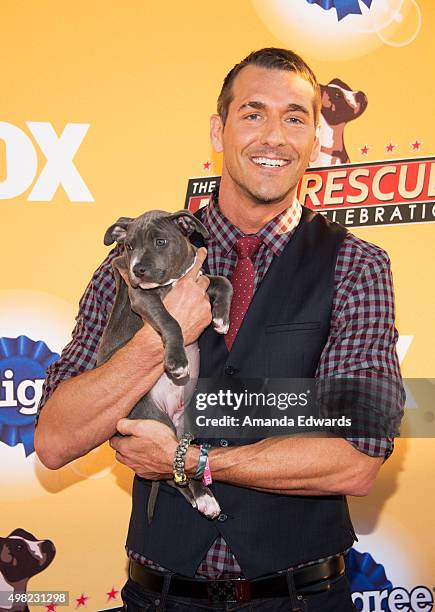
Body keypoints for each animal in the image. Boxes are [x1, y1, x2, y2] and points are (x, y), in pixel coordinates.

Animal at [97, 210, 233, 520]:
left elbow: (223, 281)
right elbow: (171, 321)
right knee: (171, 473)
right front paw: (177, 362)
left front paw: (221, 318)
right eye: (129, 246)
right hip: (153, 418)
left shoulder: (200, 280)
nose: (137, 270)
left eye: (160, 241)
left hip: (185, 426)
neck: (172, 281)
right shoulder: (142, 298)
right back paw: (204, 498)